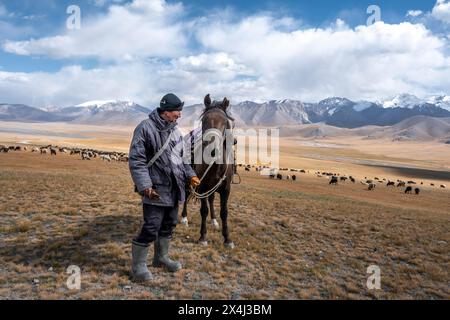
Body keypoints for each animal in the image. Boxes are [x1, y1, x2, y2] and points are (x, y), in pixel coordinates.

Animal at [181, 94, 236, 249]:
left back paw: (214, 221)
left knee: (211, 200)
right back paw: (184, 218)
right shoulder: (202, 186)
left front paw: (227, 239)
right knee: (186, 194)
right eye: (204, 120)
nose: (212, 149)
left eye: (224, 121)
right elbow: (203, 210)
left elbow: (224, 212)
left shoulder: (226, 189)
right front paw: (203, 237)